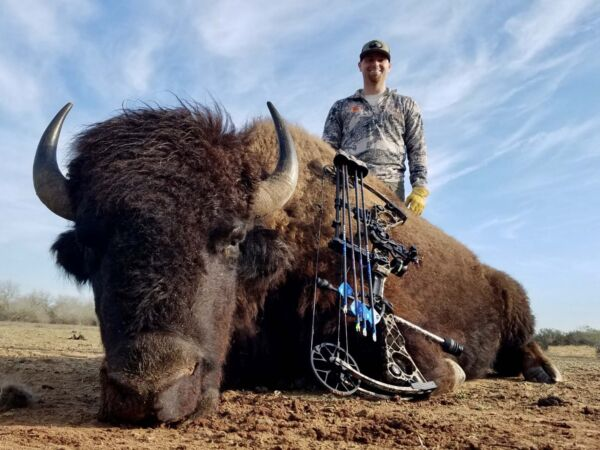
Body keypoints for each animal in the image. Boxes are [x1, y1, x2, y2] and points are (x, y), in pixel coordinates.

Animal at [34, 101, 564, 426]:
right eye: (90, 243)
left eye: (233, 237)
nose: (148, 389)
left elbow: (442, 374)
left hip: (517, 304)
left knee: (526, 342)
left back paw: (547, 373)